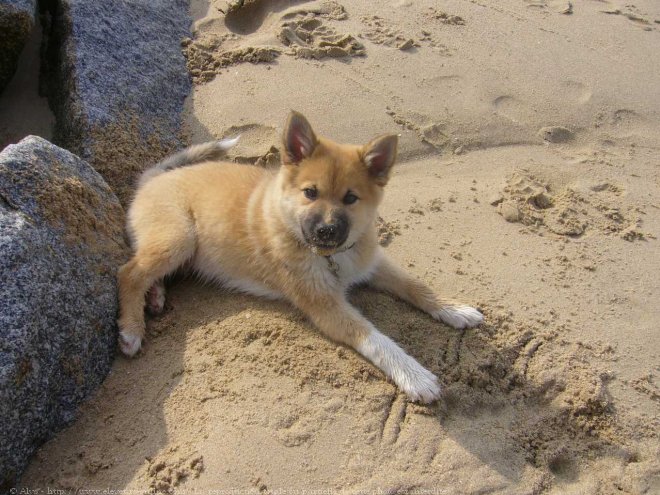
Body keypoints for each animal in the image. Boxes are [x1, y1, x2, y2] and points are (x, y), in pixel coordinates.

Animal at [117, 111, 484, 404]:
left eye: (350, 198)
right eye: (310, 193)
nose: (326, 231)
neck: (329, 257)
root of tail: (152, 178)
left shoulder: (371, 261)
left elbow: (415, 285)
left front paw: (454, 309)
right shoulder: (326, 306)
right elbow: (378, 340)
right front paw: (415, 375)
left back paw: (156, 296)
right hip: (181, 236)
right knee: (129, 272)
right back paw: (132, 328)